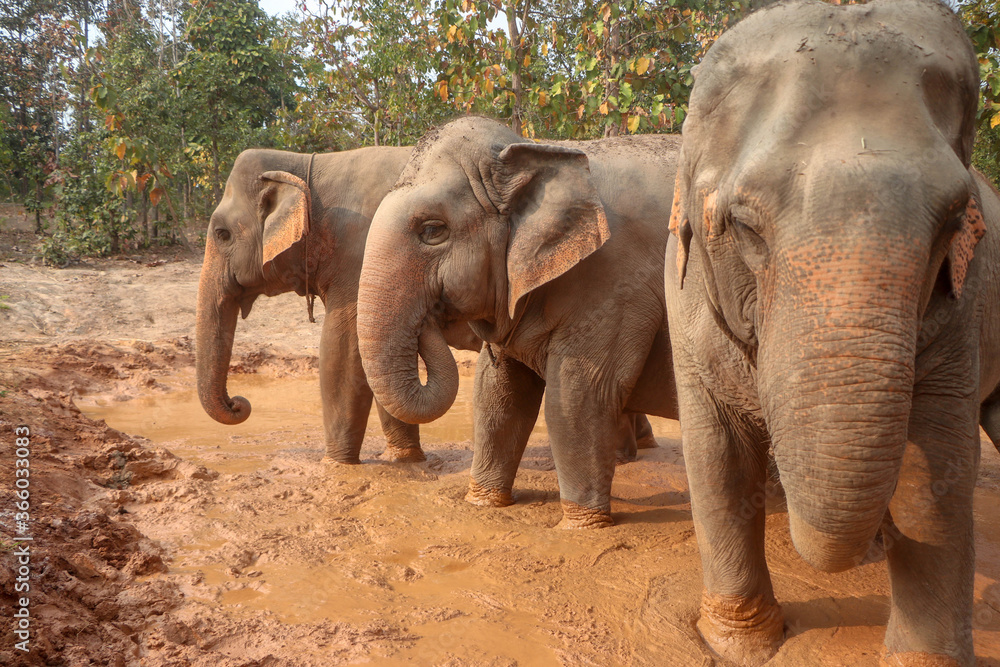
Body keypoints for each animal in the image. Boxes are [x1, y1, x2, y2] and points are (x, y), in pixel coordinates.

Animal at [195, 147, 483, 463]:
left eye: (222, 234)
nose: (237, 403)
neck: (307, 165)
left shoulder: (359, 256)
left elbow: (343, 349)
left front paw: (335, 465)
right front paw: (403, 459)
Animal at [355, 116, 680, 528]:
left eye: (432, 231)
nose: (429, 317)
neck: (539, 150)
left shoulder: (616, 284)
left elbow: (578, 395)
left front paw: (580, 526)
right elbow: (497, 390)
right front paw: (482, 503)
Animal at [663, 1, 1000, 665]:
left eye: (955, 221)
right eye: (745, 226)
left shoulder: (964, 303)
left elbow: (936, 467)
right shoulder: (683, 303)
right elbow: (716, 458)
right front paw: (738, 642)